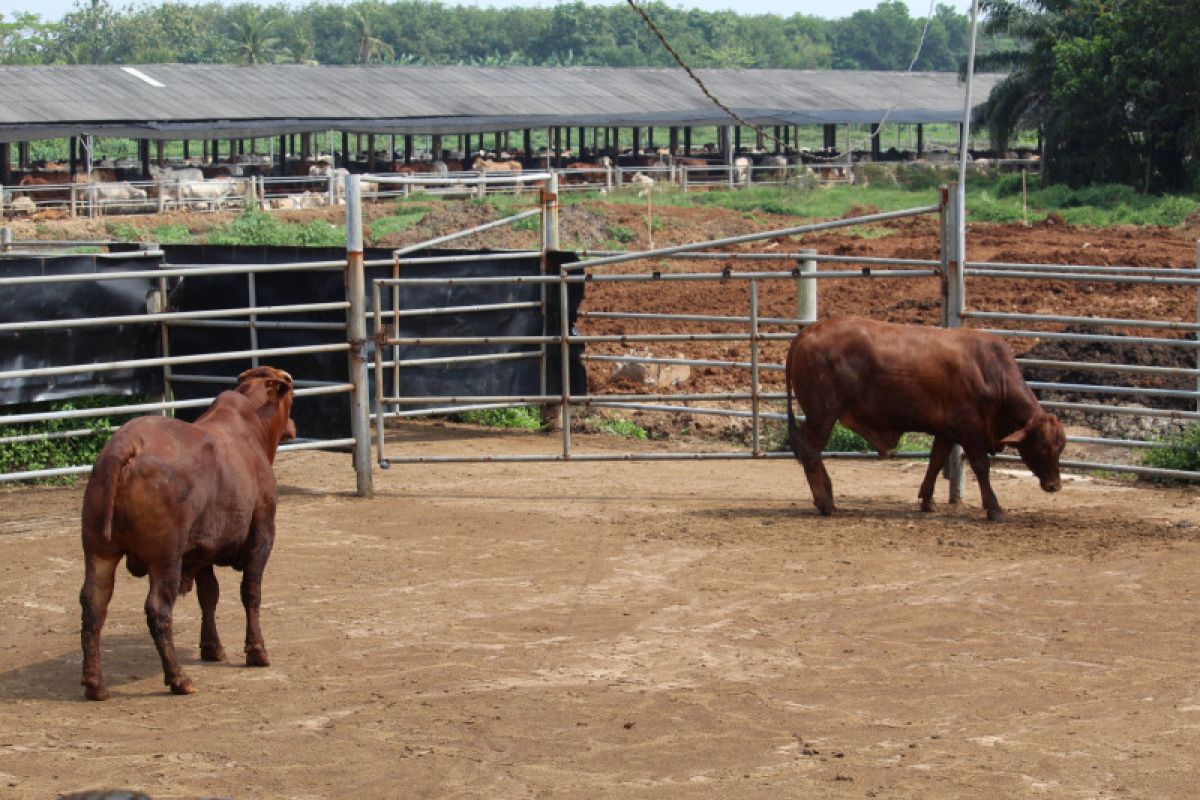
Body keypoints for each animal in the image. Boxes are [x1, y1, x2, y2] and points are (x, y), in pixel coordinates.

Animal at [78, 364, 296, 700]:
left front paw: (211, 647)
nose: (293, 426)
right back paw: (179, 678)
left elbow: (209, 596)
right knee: (158, 609)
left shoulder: (201, 551)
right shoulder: (262, 535)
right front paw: (256, 651)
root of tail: (126, 445)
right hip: (165, 559)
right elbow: (251, 593)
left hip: (99, 552)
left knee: (93, 605)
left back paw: (95, 684)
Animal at [792, 316, 1065, 522]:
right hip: (822, 416)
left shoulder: (947, 431)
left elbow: (935, 461)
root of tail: (808, 331)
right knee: (810, 452)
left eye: (1060, 447)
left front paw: (927, 500)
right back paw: (825, 501)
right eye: (1042, 446)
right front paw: (994, 508)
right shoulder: (970, 429)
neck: (989, 372)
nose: (1055, 486)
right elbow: (981, 466)